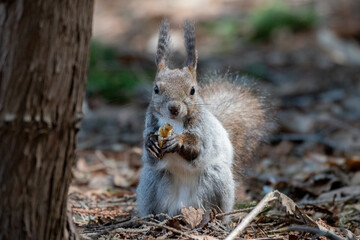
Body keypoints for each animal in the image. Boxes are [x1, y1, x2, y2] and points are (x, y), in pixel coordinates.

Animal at [136, 20, 268, 218]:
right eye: (156, 89)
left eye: (192, 90)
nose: (174, 108)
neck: (173, 123)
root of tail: (183, 206)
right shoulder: (150, 124)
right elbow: (150, 156)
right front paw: (151, 142)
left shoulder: (205, 132)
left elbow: (199, 148)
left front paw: (179, 141)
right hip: (153, 180)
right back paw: (156, 217)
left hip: (215, 178)